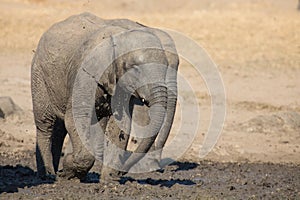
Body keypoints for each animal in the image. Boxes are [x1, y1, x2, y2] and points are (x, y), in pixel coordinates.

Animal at [31, 12, 179, 181]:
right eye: (135, 69)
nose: (122, 172)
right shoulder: (86, 72)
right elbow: (77, 117)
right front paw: (68, 170)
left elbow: (121, 124)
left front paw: (108, 180)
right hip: (39, 75)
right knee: (45, 123)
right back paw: (47, 175)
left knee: (60, 128)